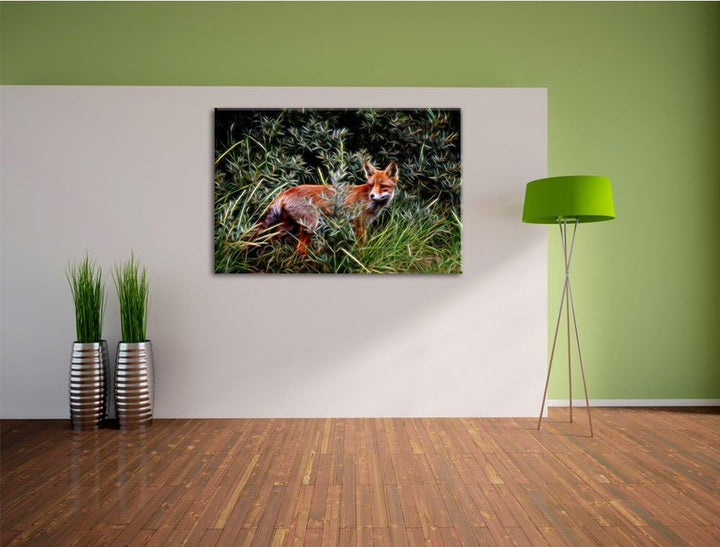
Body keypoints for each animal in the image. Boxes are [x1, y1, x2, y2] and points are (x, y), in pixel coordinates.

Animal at [255, 161, 399, 256]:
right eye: (371, 185)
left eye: (383, 186)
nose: (372, 195)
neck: (368, 202)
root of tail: (287, 190)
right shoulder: (359, 225)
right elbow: (361, 247)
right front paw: (360, 259)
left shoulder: (363, 225)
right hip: (311, 225)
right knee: (300, 248)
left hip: (288, 226)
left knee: (271, 238)